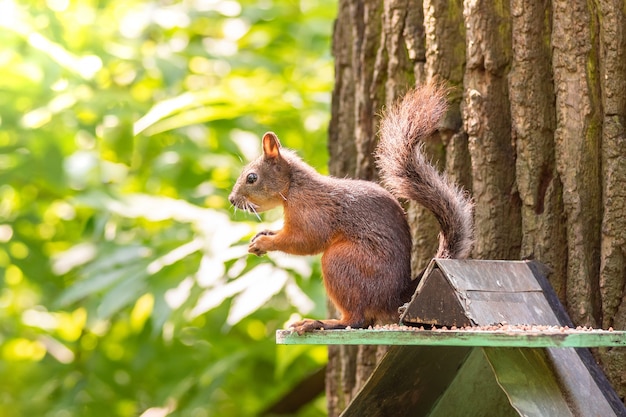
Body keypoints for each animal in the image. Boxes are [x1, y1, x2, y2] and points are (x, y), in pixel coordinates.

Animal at [227, 83, 470, 334]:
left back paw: (321, 323)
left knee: (356, 319)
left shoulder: (312, 213)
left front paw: (266, 242)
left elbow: (304, 240)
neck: (294, 187)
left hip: (341, 262)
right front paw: (262, 235)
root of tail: (394, 297)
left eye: (252, 178)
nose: (232, 200)